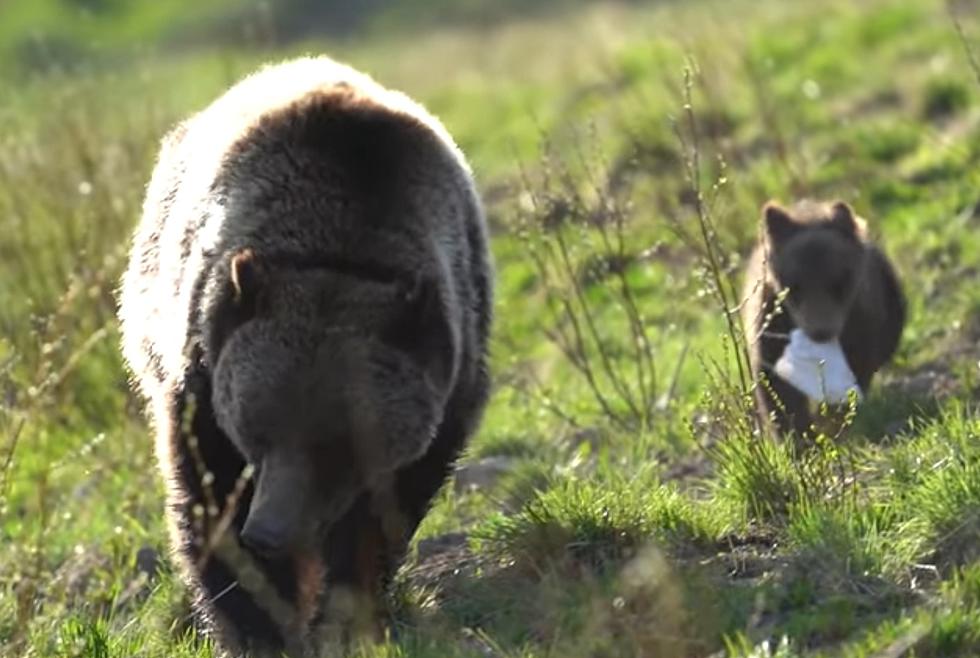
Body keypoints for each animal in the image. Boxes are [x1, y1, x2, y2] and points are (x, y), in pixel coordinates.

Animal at [117, 57, 494, 656]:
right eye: (256, 427)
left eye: (339, 444)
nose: (269, 532)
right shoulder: (202, 369)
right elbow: (208, 496)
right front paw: (258, 624)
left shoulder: (449, 373)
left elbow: (382, 516)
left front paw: (345, 616)